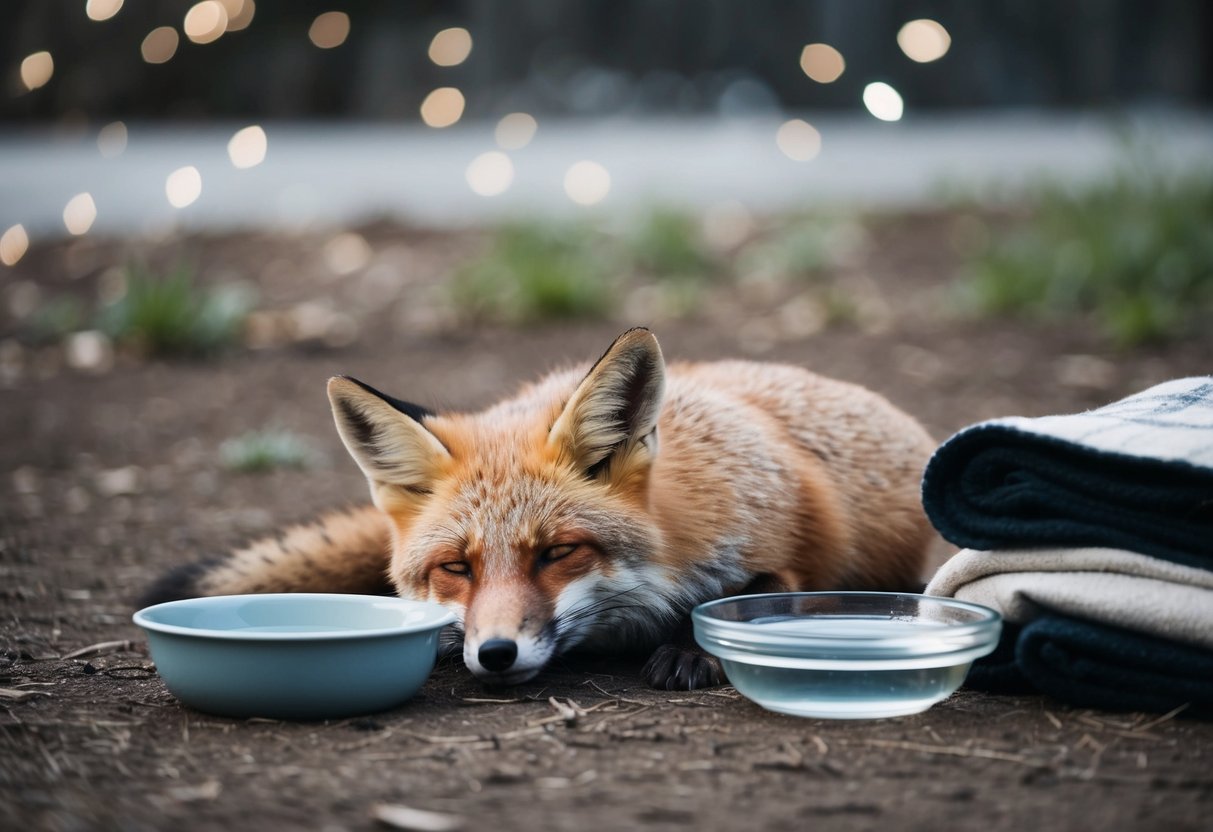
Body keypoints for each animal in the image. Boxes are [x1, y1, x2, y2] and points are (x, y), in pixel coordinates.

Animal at [143, 328, 938, 690]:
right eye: (455, 567)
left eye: (557, 553)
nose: (495, 654)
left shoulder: (800, 533)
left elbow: (770, 589)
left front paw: (694, 644)